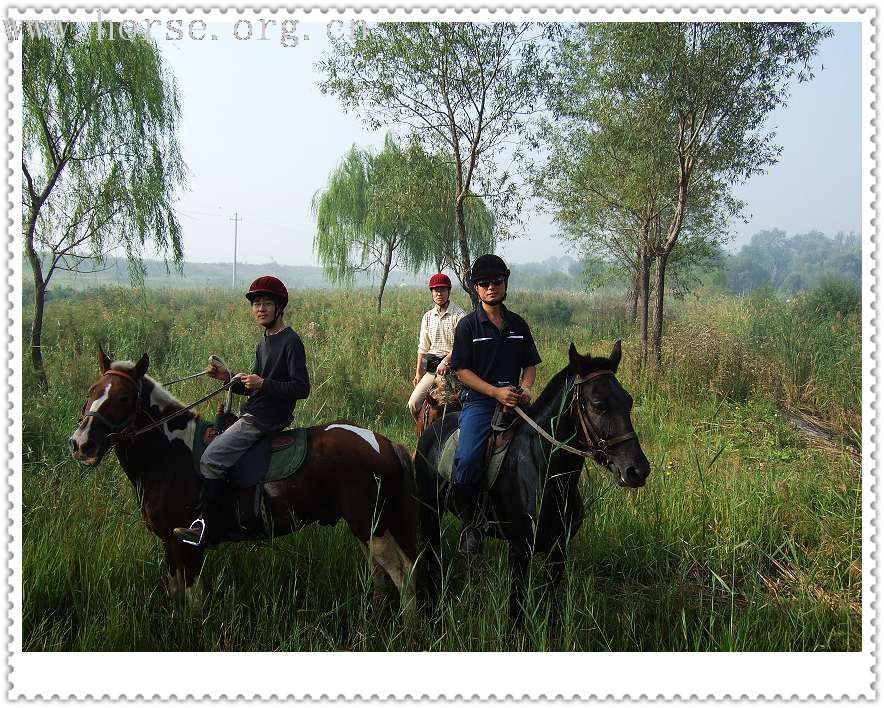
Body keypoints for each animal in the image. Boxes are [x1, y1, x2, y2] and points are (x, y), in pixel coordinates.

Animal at [69, 348, 418, 612]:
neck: (170, 456)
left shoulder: (188, 547)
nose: (81, 444)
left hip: (371, 525)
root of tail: (384, 443)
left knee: (403, 574)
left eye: (125, 398)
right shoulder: (169, 542)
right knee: (381, 574)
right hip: (366, 526)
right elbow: (174, 591)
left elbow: (194, 601)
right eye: (91, 392)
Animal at [412, 342, 648, 624]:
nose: (637, 470)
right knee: (431, 558)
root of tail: (433, 429)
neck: (546, 472)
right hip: (430, 514)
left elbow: (550, 606)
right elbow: (515, 613)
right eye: (599, 405)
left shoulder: (559, 552)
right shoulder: (519, 551)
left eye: (628, 400)